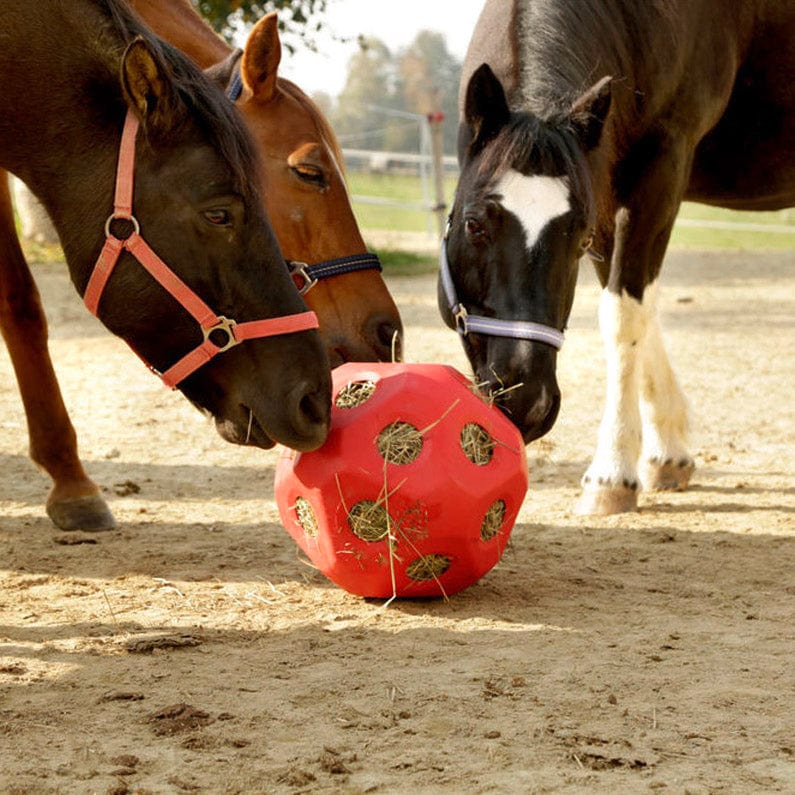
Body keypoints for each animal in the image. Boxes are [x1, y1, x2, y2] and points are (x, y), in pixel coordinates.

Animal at [442, 0, 795, 516]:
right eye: (473, 224)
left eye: (578, 235)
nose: (528, 400)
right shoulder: (605, 188)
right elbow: (638, 311)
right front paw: (667, 454)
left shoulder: (661, 168)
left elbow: (624, 317)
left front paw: (611, 476)